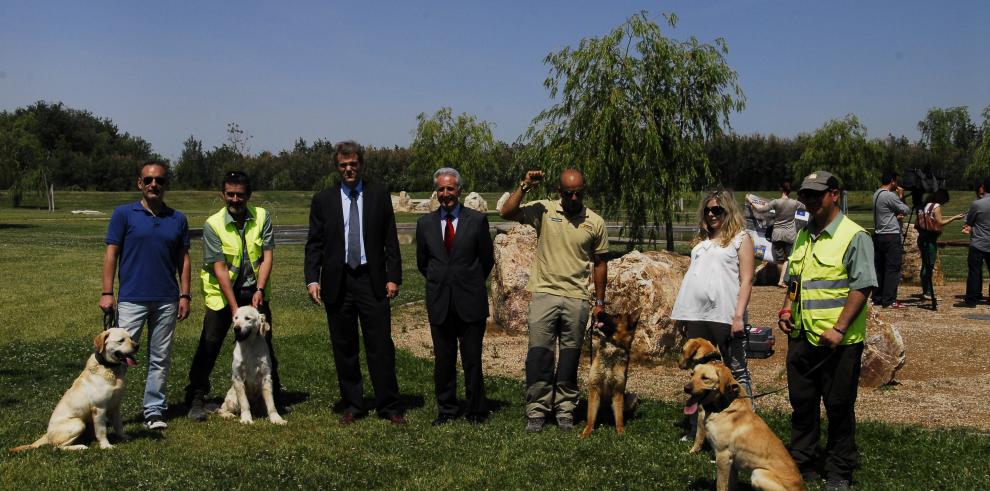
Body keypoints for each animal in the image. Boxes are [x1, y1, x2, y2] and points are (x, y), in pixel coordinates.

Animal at [9, 328, 139, 452]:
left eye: (131, 338)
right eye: (121, 340)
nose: (137, 346)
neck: (109, 369)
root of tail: (47, 435)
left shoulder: (115, 406)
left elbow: (119, 425)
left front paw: (123, 437)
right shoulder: (99, 409)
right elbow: (102, 431)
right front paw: (106, 446)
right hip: (78, 423)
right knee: (57, 447)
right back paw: (80, 447)